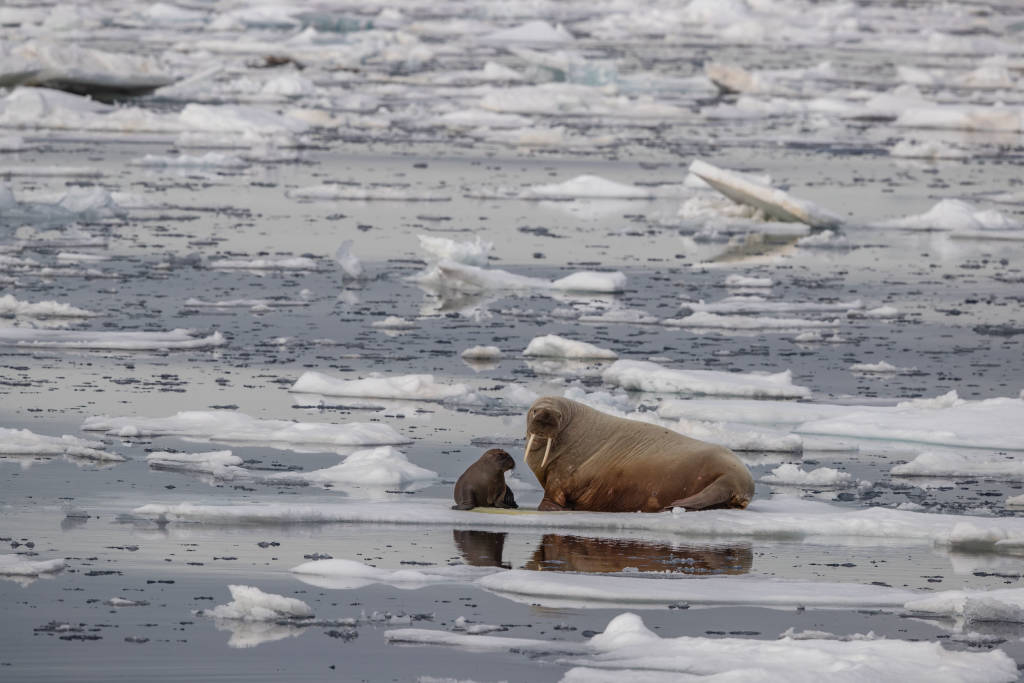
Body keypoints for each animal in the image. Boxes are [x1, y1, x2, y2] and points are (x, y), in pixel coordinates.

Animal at [528, 395, 753, 511]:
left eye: (558, 415)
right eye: (534, 410)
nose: (546, 415)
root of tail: (740, 482)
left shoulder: (562, 475)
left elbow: (553, 495)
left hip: (724, 472)